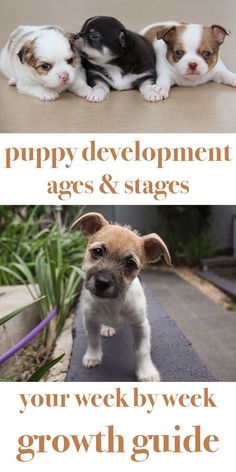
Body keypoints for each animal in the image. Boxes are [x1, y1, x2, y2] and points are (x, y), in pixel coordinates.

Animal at [70, 212, 171, 382]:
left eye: (130, 263)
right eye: (97, 251)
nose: (102, 282)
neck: (113, 303)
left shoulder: (141, 326)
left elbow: (142, 350)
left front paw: (146, 372)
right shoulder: (90, 320)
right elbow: (93, 340)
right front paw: (93, 357)